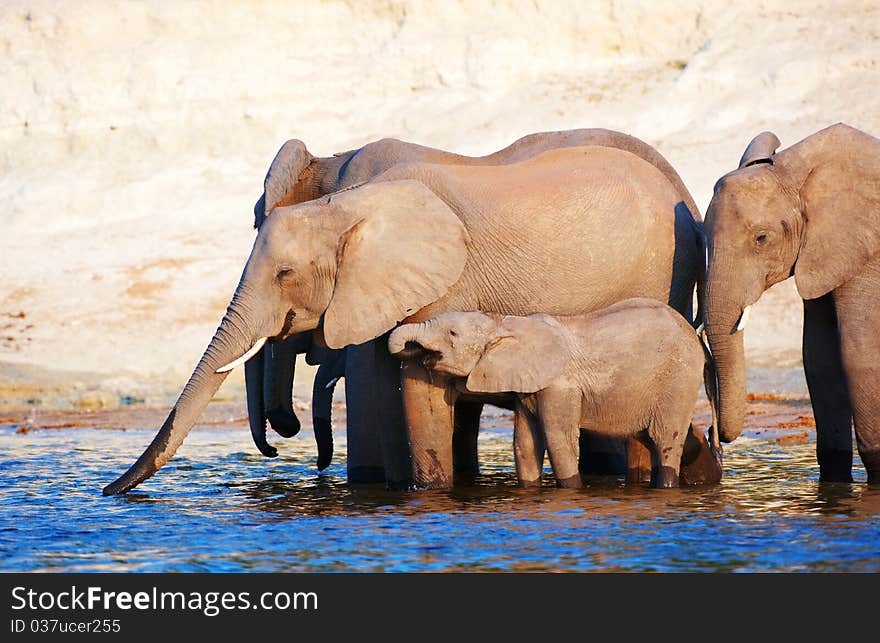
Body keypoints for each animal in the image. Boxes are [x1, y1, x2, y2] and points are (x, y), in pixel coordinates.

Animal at [388, 300, 712, 490]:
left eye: (452, 334)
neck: (504, 321)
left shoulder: (560, 385)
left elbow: (559, 439)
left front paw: (571, 491)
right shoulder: (527, 387)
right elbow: (525, 443)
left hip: (679, 378)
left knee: (664, 439)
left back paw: (665, 488)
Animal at [704, 123, 880, 484]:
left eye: (761, 238)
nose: (713, 438)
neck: (795, 171)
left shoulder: (864, 256)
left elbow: (858, 354)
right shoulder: (823, 253)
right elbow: (818, 358)